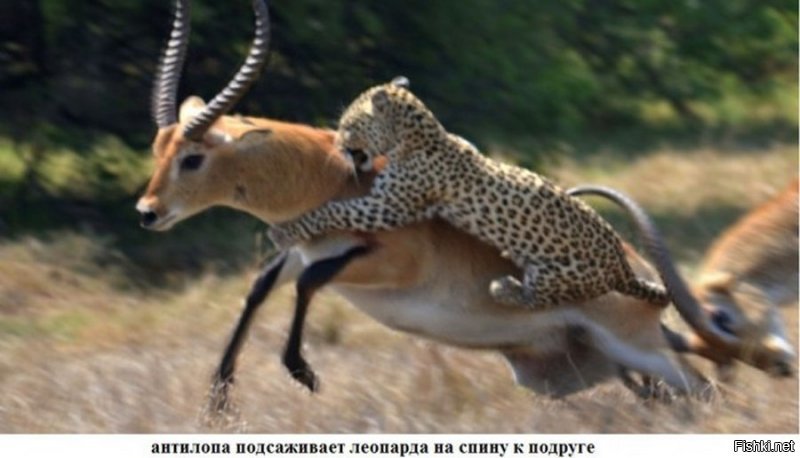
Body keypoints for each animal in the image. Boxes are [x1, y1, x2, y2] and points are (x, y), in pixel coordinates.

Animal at [268, 79, 668, 312]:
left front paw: (285, 231)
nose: (337, 142)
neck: (419, 136)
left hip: (559, 276)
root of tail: (622, 268)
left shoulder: (389, 207)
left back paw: (505, 286)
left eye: (348, 124)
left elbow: (333, 211)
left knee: (536, 300)